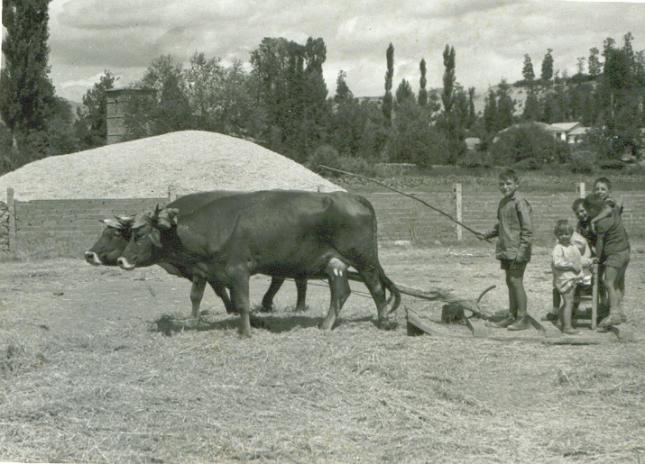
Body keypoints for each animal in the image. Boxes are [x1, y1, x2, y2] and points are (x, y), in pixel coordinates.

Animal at [84, 191, 308, 316]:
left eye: (114, 233)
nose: (88, 254)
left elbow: (217, 291)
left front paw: (233, 309)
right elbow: (222, 290)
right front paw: (233, 308)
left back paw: (293, 306)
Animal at [116, 190, 400, 337]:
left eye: (139, 234)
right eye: (128, 233)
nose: (121, 259)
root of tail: (350, 197)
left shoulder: (238, 270)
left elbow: (242, 302)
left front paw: (245, 332)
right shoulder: (205, 272)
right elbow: (197, 296)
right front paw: (193, 323)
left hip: (364, 259)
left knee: (376, 289)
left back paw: (384, 321)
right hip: (335, 263)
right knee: (341, 292)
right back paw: (326, 324)